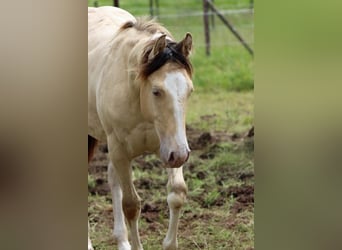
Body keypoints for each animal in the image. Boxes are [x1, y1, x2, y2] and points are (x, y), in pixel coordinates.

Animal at [88, 6, 194, 250]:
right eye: (156, 91)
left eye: (189, 90)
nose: (181, 155)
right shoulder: (120, 151)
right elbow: (131, 205)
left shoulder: (169, 145)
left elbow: (177, 193)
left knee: (112, 178)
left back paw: (122, 241)